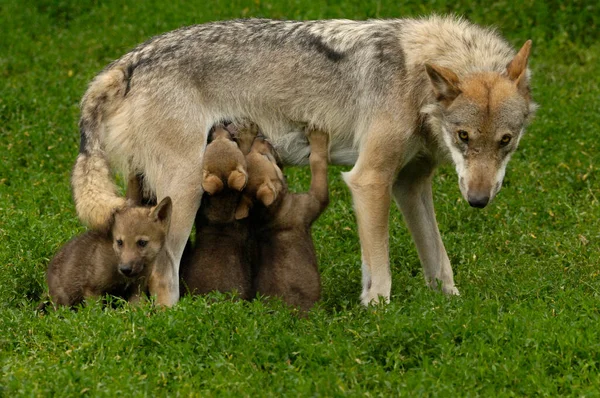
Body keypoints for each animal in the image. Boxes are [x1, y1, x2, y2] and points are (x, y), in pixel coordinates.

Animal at [72, 15, 536, 306]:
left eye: (506, 142)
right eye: (463, 137)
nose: (478, 202)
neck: (414, 78)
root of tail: (130, 60)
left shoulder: (409, 185)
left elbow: (439, 262)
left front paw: (453, 308)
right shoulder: (369, 180)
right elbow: (380, 269)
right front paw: (377, 313)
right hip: (185, 192)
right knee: (163, 273)